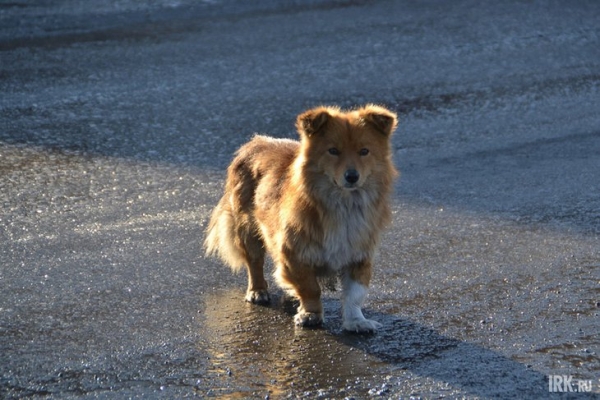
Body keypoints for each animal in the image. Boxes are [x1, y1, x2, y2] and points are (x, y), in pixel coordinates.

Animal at [206, 104, 398, 332]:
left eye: (364, 152)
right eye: (333, 151)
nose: (352, 176)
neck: (343, 204)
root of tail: (255, 142)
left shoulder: (359, 255)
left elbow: (355, 294)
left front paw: (356, 321)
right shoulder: (295, 253)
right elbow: (310, 288)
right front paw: (310, 314)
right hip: (247, 230)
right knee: (254, 263)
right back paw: (258, 291)